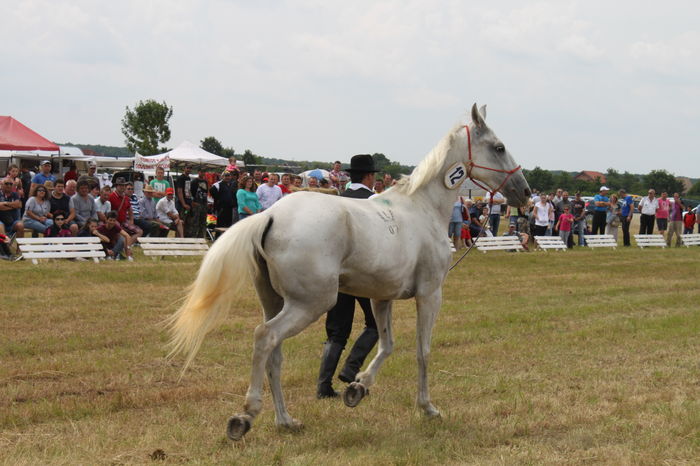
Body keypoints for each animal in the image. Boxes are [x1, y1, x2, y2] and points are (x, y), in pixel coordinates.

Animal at [168, 104, 531, 440]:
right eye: (499, 147)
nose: (525, 192)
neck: (422, 209)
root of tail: (270, 216)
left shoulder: (382, 299)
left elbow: (386, 344)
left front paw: (357, 388)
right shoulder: (430, 294)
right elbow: (422, 350)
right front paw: (427, 407)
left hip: (275, 301)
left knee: (275, 355)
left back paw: (285, 420)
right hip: (310, 304)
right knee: (265, 337)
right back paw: (245, 417)